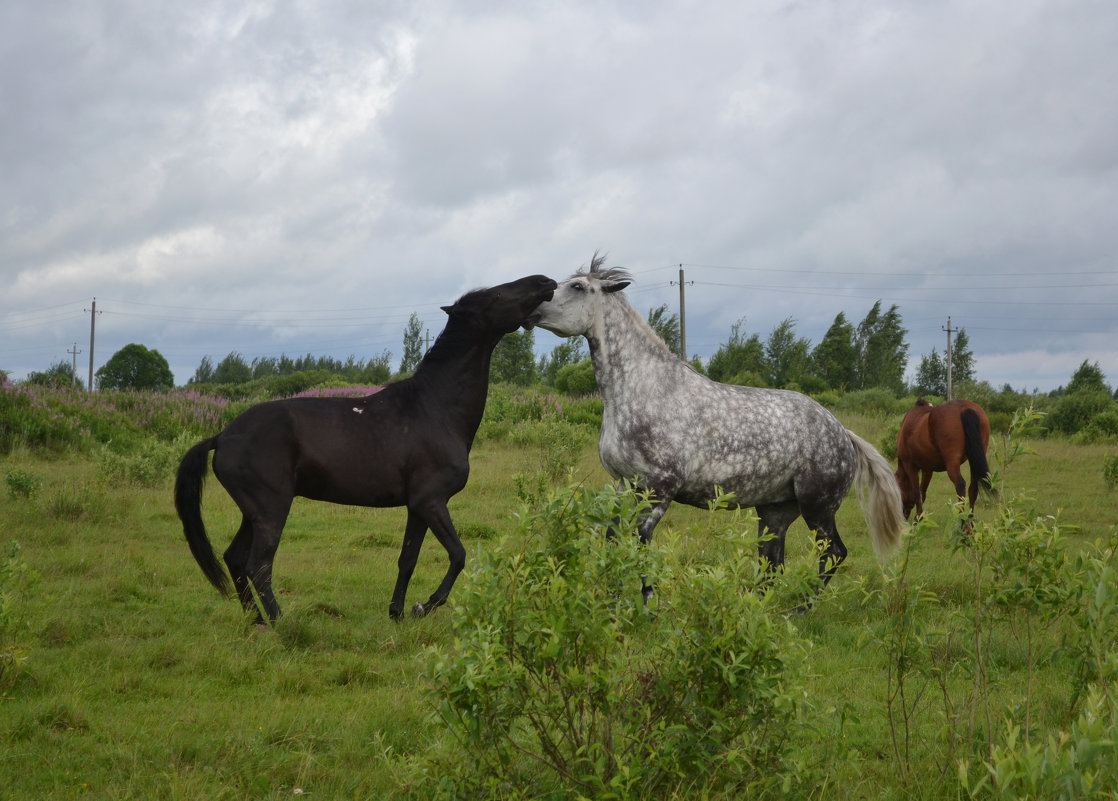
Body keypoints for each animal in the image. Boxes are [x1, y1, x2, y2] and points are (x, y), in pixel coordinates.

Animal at [174, 271, 554, 622]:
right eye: (496, 295)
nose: (545, 281)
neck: (435, 407)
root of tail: (222, 437)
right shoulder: (432, 501)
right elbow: (458, 555)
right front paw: (424, 606)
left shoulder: (418, 507)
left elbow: (408, 559)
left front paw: (398, 613)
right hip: (271, 509)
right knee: (258, 565)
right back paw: (280, 624)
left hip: (252, 512)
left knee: (235, 559)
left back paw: (257, 622)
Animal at [527, 253, 903, 599]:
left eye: (577, 287)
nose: (531, 308)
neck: (644, 389)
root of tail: (843, 433)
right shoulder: (624, 486)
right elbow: (614, 541)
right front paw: (613, 601)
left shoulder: (658, 490)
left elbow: (640, 546)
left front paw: (646, 605)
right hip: (775, 512)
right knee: (772, 564)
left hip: (818, 508)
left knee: (834, 553)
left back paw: (801, 608)